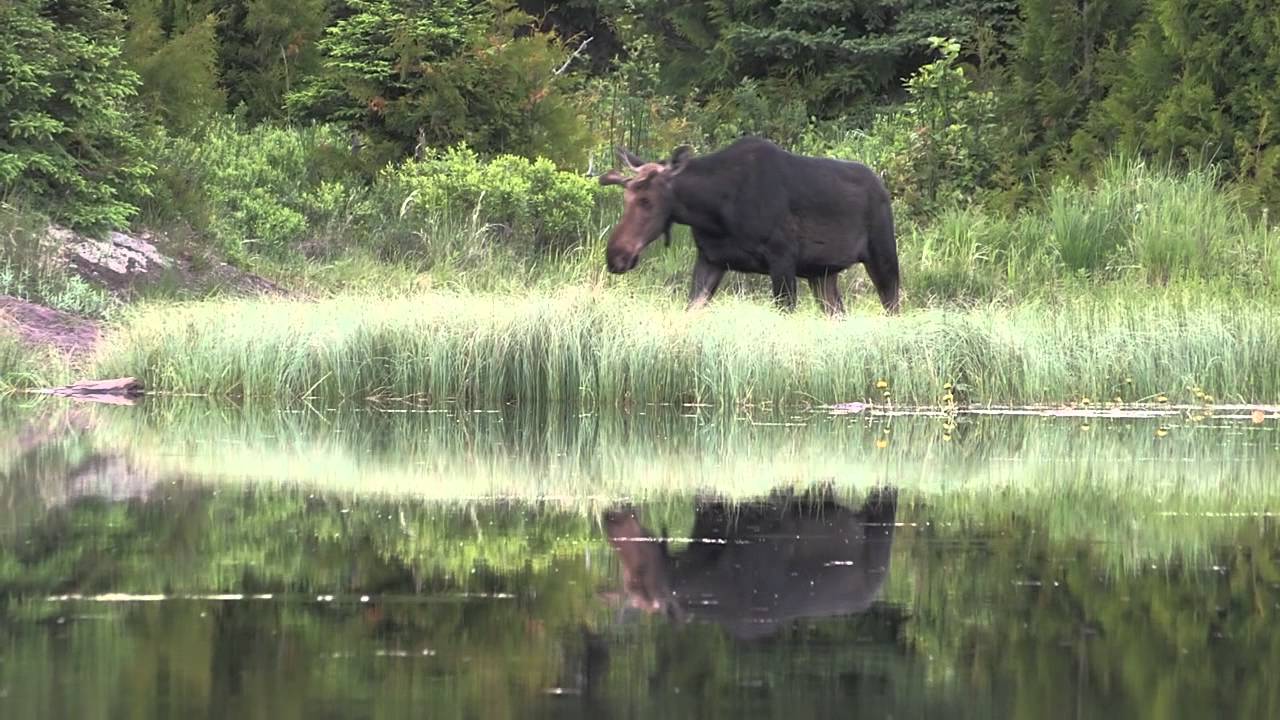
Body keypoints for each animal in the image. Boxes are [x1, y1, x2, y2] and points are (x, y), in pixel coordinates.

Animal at [599, 136, 901, 313]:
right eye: (626, 198)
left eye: (647, 201)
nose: (616, 255)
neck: (712, 211)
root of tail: (883, 188)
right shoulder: (710, 259)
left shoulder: (782, 259)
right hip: (822, 273)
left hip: (882, 254)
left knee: (892, 306)